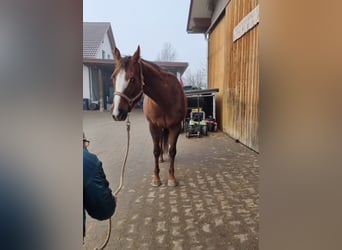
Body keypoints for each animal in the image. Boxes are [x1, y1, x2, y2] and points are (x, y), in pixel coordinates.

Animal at [111, 46, 187, 187]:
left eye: (132, 79)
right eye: (113, 77)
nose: (117, 113)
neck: (165, 99)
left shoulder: (176, 126)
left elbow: (172, 151)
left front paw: (171, 178)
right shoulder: (153, 125)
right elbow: (156, 150)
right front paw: (156, 178)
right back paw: (162, 158)